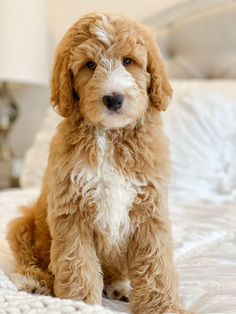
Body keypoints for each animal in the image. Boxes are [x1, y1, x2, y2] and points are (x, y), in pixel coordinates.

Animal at [7, 12, 187, 314]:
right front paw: (77, 303)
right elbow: (77, 264)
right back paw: (33, 281)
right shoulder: (71, 210)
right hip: (22, 224)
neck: (110, 136)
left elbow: (155, 265)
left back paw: (119, 287)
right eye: (89, 65)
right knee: (31, 260)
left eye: (128, 60)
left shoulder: (150, 210)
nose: (113, 99)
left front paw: (163, 307)